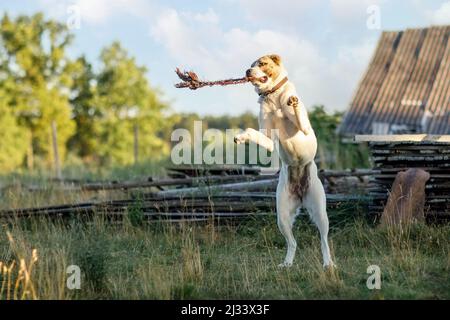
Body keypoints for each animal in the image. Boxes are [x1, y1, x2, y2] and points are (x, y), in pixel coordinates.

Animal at [236, 53, 334, 268]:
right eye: (250, 65)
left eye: (262, 63)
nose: (247, 71)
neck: (272, 95)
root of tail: (301, 194)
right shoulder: (268, 139)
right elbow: (253, 132)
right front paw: (241, 137)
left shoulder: (304, 129)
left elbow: (298, 116)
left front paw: (293, 102)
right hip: (281, 216)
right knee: (292, 242)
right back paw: (287, 264)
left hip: (320, 213)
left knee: (323, 240)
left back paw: (328, 263)